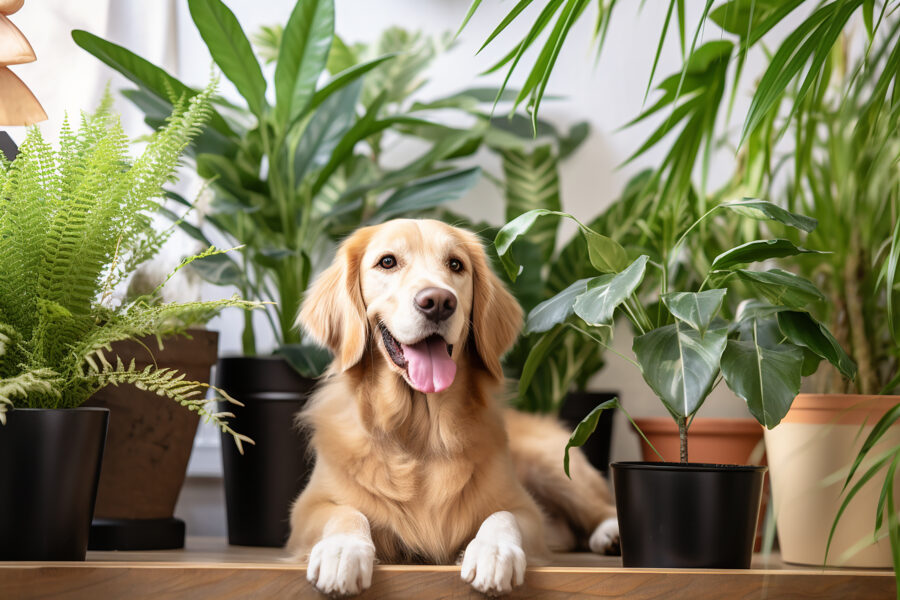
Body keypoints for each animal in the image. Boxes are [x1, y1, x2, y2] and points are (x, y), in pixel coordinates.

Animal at [288, 219, 620, 596]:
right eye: (387, 262)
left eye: (456, 265)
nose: (438, 301)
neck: (420, 433)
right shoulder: (305, 511)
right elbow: (345, 513)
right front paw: (342, 551)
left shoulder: (526, 510)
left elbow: (501, 516)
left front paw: (494, 553)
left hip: (551, 463)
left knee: (600, 506)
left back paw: (610, 533)